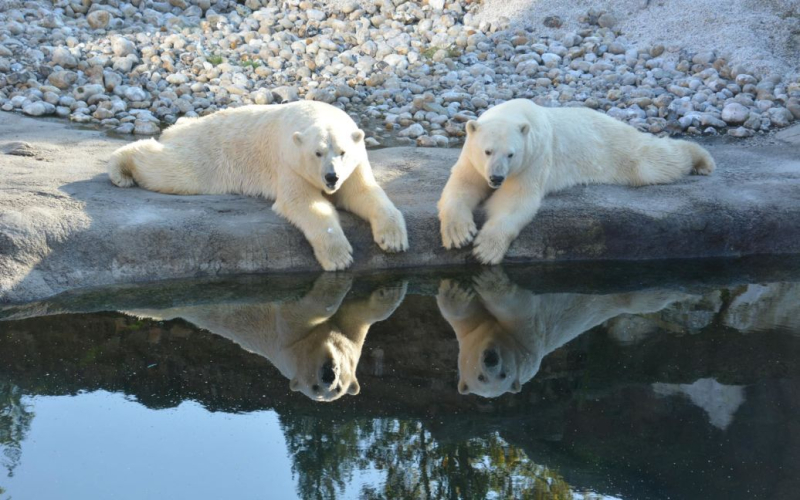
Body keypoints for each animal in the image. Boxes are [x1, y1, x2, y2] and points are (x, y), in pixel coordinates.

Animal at [108, 100, 406, 270]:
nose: (331, 177)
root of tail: (179, 126)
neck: (318, 114)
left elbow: (363, 193)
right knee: (173, 170)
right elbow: (303, 202)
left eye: (342, 152)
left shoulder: (355, 165)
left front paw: (393, 240)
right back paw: (120, 169)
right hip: (207, 152)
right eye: (318, 153)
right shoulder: (290, 161)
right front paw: (339, 257)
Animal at [128, 274, 410, 402]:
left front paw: (391, 290)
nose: (328, 375)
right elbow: (304, 309)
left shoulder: (350, 338)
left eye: (339, 388)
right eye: (314, 388)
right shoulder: (288, 341)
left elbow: (359, 317)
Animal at [438, 270, 692, 398]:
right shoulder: (471, 334)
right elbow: (462, 312)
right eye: (481, 378)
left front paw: (489, 280)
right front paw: (456, 289)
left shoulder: (527, 340)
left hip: (626, 296)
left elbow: (518, 307)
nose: (491, 359)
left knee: (649, 297)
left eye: (504, 375)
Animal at [440, 99, 716, 268]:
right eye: (487, 151)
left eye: (511, 154)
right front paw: (459, 234)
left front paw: (485, 249)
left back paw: (701, 159)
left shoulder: (534, 158)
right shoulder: (471, 158)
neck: (516, 113)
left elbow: (515, 200)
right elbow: (462, 185)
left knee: (653, 162)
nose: (496, 178)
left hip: (618, 148)